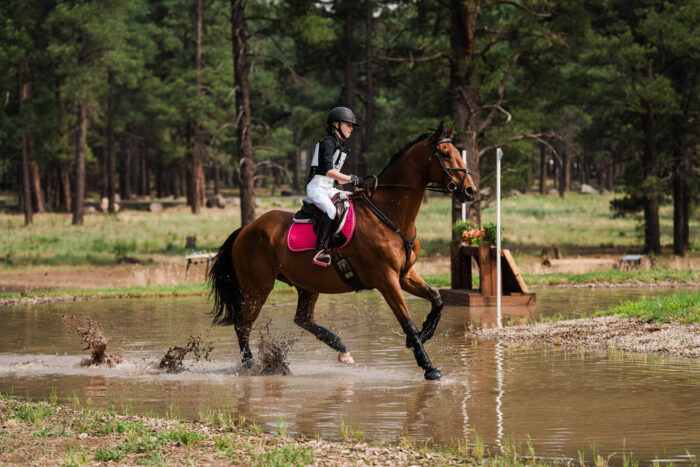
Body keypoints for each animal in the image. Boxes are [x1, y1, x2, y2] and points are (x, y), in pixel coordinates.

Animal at [208, 123, 477, 380]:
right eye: (445, 154)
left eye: (457, 152)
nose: (470, 191)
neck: (389, 215)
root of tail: (245, 229)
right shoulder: (386, 279)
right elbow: (407, 322)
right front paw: (429, 367)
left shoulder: (405, 274)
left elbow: (437, 299)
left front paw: (425, 333)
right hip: (258, 288)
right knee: (243, 324)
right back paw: (249, 364)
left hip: (307, 283)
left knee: (302, 319)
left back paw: (342, 350)